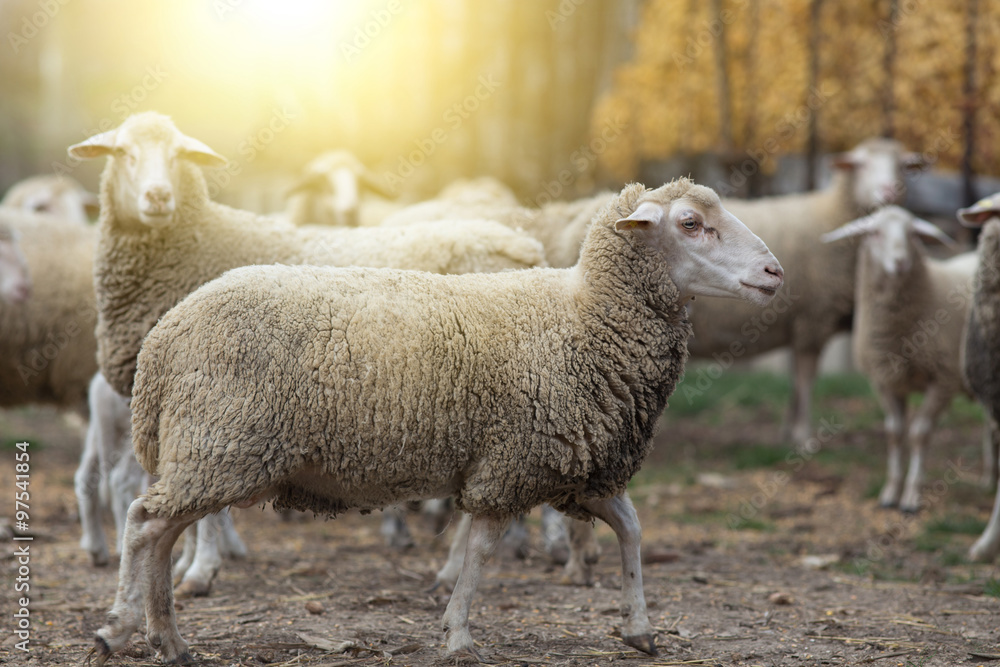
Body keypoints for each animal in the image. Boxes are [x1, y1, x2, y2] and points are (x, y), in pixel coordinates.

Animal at [88, 177, 784, 665]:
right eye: (692, 224)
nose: (775, 272)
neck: (585, 317)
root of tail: (165, 336)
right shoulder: (513, 460)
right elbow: (479, 550)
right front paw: (457, 636)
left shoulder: (573, 462)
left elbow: (632, 529)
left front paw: (640, 629)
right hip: (221, 443)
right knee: (145, 524)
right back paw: (122, 628)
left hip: (207, 448)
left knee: (159, 532)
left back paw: (166, 639)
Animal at [822, 205, 976, 513]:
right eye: (874, 233)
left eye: (913, 234)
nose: (901, 262)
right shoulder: (885, 382)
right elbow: (894, 433)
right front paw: (890, 493)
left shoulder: (943, 379)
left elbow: (919, 433)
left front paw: (911, 497)